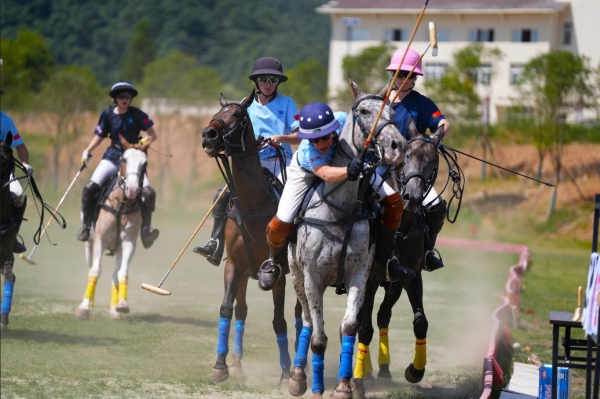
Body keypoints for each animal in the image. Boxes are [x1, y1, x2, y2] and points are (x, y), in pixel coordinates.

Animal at [75, 138, 150, 322]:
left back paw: (114, 309)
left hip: (119, 248)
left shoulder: (129, 242)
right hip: (89, 244)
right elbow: (95, 270)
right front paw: (84, 308)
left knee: (115, 273)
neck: (121, 204)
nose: (132, 189)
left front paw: (122, 305)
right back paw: (90, 303)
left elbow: (123, 272)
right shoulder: (100, 240)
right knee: (91, 268)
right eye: (124, 159)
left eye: (145, 164)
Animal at [202, 90, 302, 384]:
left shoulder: (277, 273)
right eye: (217, 112)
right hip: (246, 272)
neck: (252, 205)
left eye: (237, 115)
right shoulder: (235, 265)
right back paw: (237, 361)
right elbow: (227, 309)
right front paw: (221, 365)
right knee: (242, 309)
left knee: (300, 315)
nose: (208, 135)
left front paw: (285, 374)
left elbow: (279, 320)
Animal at [288, 81, 406, 399]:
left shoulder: (359, 274)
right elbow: (318, 336)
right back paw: (297, 376)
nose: (397, 146)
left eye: (393, 112)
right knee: (306, 321)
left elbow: (350, 327)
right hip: (296, 276)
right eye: (364, 111)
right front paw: (315, 388)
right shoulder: (313, 277)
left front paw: (344, 386)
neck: (341, 210)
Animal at [352, 122, 446, 396]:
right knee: (362, 321)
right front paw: (359, 380)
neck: (399, 228)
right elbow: (364, 328)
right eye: (406, 156)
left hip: (393, 286)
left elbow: (421, 322)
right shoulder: (369, 280)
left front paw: (415, 371)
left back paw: (383, 370)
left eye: (433, 162)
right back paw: (366, 371)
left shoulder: (411, 277)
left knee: (383, 315)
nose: (412, 197)